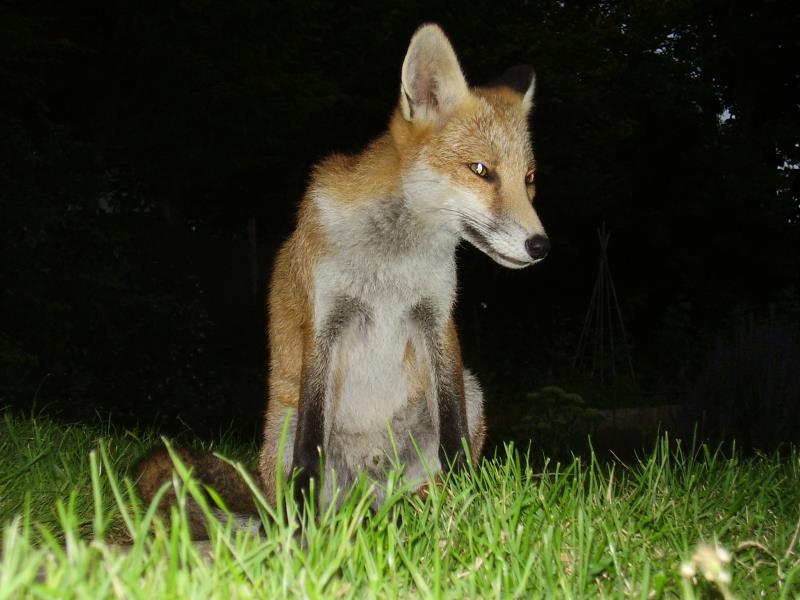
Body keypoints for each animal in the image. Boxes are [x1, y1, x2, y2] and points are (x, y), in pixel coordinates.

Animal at [139, 21, 552, 532]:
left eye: (529, 177)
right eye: (480, 170)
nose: (541, 246)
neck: (392, 262)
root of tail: (369, 497)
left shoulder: (436, 319)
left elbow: (452, 434)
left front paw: (467, 498)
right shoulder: (325, 321)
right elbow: (309, 451)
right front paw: (303, 527)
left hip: (471, 392)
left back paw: (428, 507)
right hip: (283, 425)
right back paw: (305, 523)